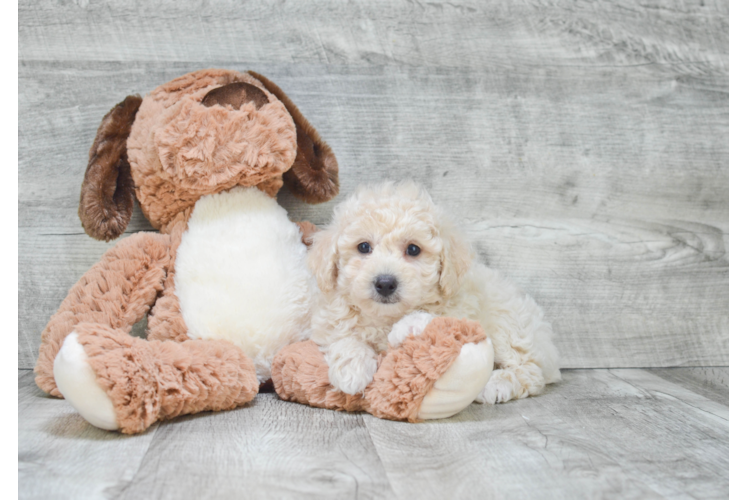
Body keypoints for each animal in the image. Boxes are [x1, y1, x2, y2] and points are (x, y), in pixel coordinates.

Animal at [306, 183, 560, 402]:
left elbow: (434, 318)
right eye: (364, 247)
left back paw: (495, 384)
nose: (385, 283)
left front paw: (404, 328)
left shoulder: (462, 312)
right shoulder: (331, 317)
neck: (386, 317)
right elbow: (342, 336)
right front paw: (352, 370)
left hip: (508, 323)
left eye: (413, 249)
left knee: (531, 370)